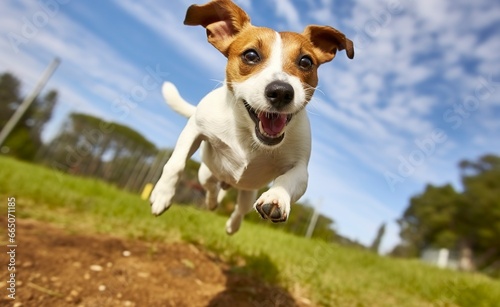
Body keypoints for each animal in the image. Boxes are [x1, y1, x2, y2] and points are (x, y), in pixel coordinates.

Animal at [150, 0, 354, 235]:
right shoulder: (195, 129)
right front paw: (162, 195)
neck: (248, 135)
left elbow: (288, 179)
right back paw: (211, 201)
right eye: (251, 55)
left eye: (305, 62)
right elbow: (175, 163)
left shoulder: (301, 168)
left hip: (248, 194)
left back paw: (232, 225)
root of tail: (230, 183)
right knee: (211, 187)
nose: (281, 91)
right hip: (206, 173)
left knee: (240, 208)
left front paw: (276, 197)